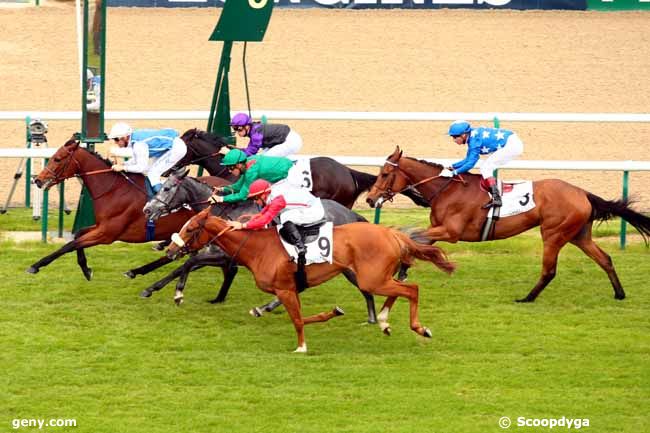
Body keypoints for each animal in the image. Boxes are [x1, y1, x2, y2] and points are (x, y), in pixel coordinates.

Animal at [27, 138, 229, 280]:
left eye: (57, 159)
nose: (38, 180)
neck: (114, 190)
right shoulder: (100, 227)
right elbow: (77, 235)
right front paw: (86, 269)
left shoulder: (107, 234)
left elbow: (70, 245)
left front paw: (36, 265)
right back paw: (137, 270)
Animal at [165, 208, 454, 352]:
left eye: (191, 228)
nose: (170, 249)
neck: (258, 247)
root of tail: (392, 234)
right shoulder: (291, 289)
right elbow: (302, 318)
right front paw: (333, 312)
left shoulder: (285, 289)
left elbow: (296, 320)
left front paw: (301, 347)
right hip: (374, 277)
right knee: (400, 290)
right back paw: (383, 320)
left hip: (371, 278)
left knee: (412, 289)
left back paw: (418, 328)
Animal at [364, 145, 648, 300]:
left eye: (385, 173)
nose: (370, 198)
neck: (446, 190)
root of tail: (582, 192)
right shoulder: (438, 229)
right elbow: (418, 242)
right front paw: (402, 269)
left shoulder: (451, 231)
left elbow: (413, 237)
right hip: (579, 235)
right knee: (605, 259)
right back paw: (619, 293)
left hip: (554, 233)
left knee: (549, 270)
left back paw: (527, 298)